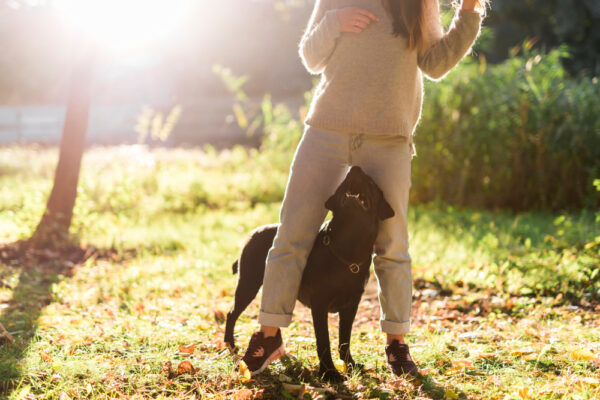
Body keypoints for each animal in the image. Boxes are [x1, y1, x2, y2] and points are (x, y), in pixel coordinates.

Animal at [225, 165, 394, 382]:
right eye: (343, 182)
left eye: (371, 182)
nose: (355, 168)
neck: (348, 247)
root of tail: (253, 233)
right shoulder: (319, 305)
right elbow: (324, 341)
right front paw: (329, 373)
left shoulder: (351, 306)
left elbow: (344, 339)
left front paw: (350, 365)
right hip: (248, 284)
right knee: (231, 314)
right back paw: (231, 345)